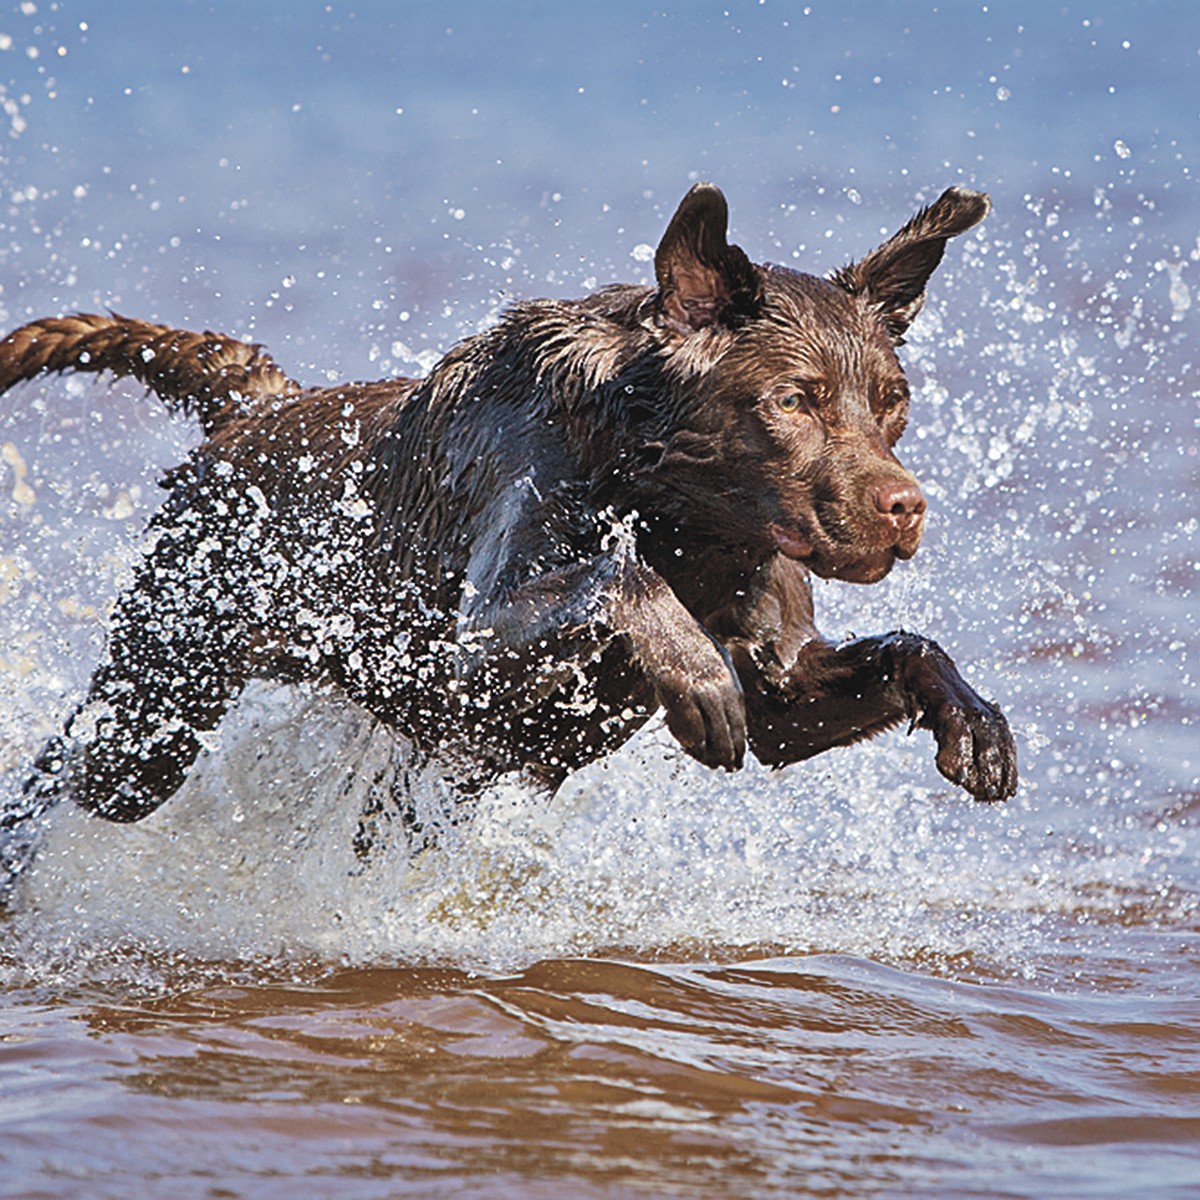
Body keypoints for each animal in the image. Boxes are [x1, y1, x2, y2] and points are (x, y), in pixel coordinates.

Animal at [0, 182, 1012, 844]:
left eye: (893, 403)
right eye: (794, 399)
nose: (905, 508)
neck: (672, 504)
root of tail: (251, 407)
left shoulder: (783, 698)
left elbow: (902, 651)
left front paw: (974, 720)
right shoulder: (464, 654)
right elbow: (615, 573)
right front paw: (691, 666)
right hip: (152, 716)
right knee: (59, 775)